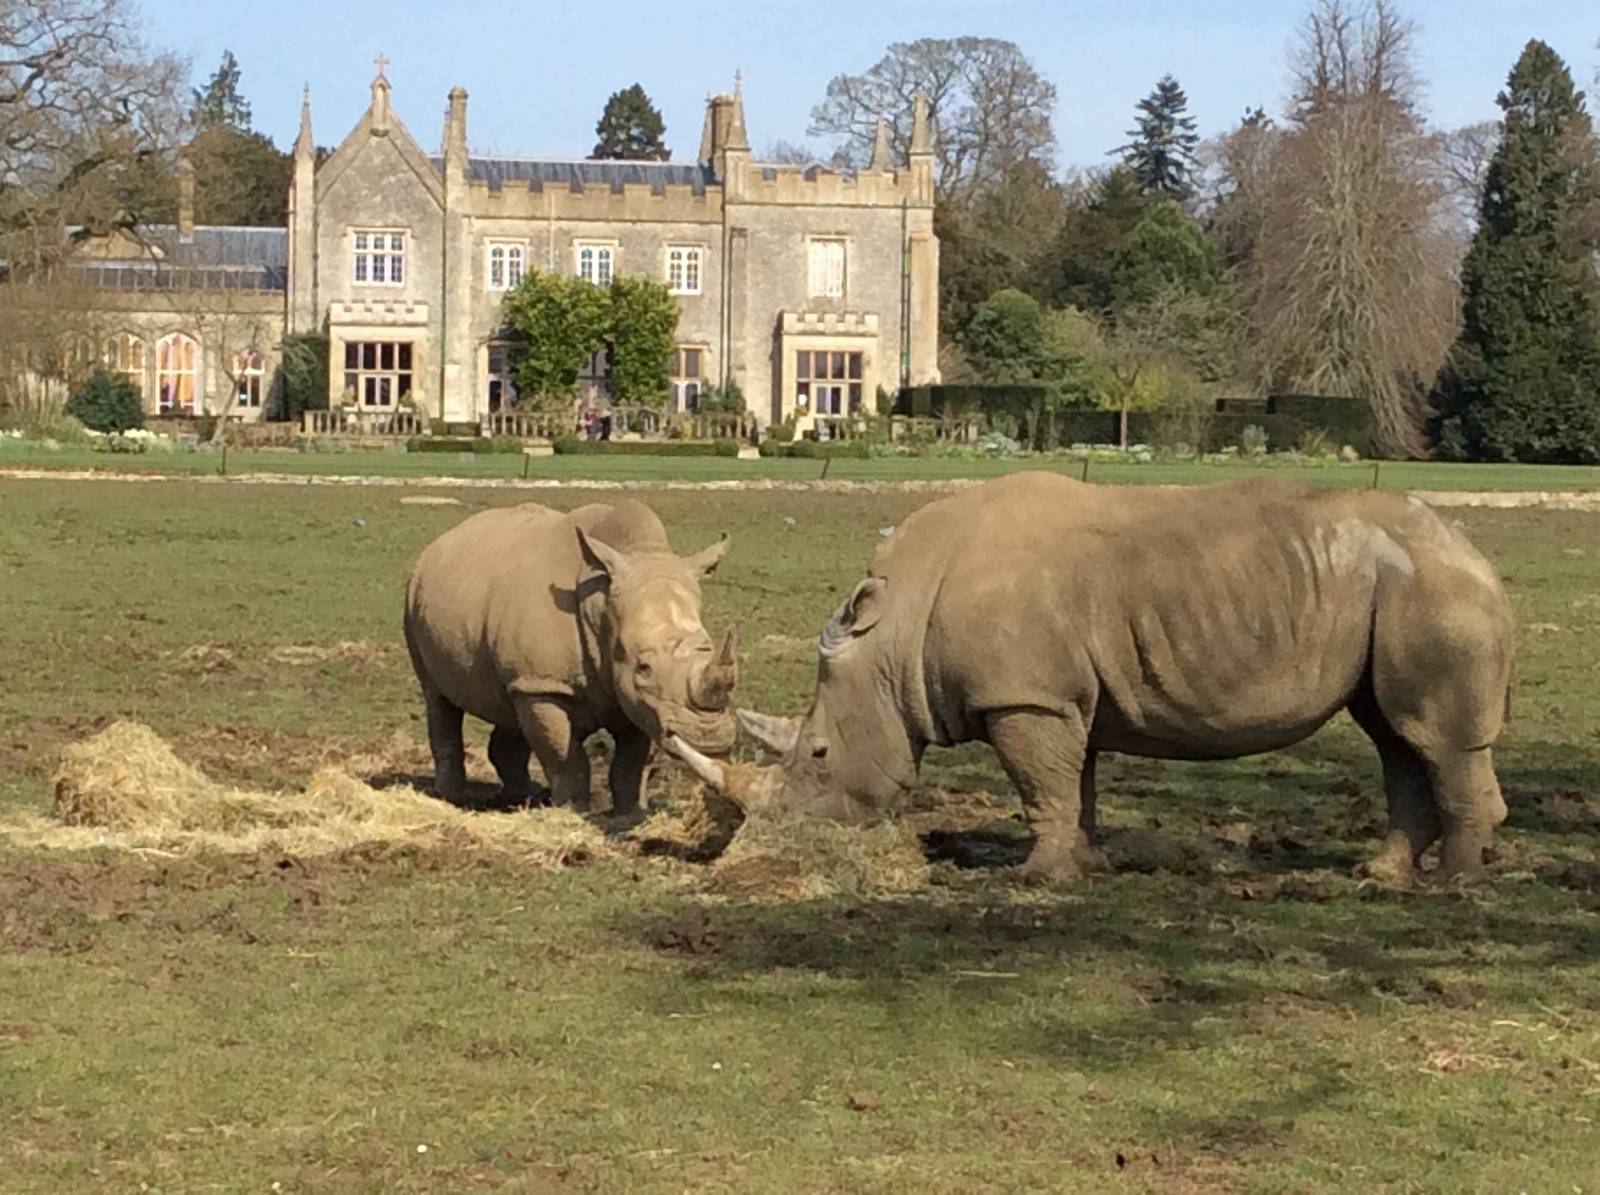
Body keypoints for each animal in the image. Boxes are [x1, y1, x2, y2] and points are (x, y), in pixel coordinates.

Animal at [404, 500, 737, 813]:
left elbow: (628, 765)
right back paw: (451, 798)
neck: (600, 606)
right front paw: (574, 811)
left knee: (509, 704)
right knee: (437, 698)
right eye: (643, 667)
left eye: (710, 649)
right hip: (412, 597)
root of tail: (439, 543)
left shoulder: (634, 699)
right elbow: (567, 761)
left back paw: (522, 799)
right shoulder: (546, 686)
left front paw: (629, 814)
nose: (709, 737)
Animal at [667, 474, 1516, 885]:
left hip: (1431, 590)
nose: (782, 839)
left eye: (817, 756)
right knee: (1394, 733)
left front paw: (1033, 878)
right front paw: (1083, 866)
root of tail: (1476, 552)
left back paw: (1455, 884)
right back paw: (1380, 875)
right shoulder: (1060, 695)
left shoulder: (1026, 696)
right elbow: (1073, 783)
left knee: (1431, 735)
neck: (895, 632)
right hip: (1396, 586)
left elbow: (1040, 784)